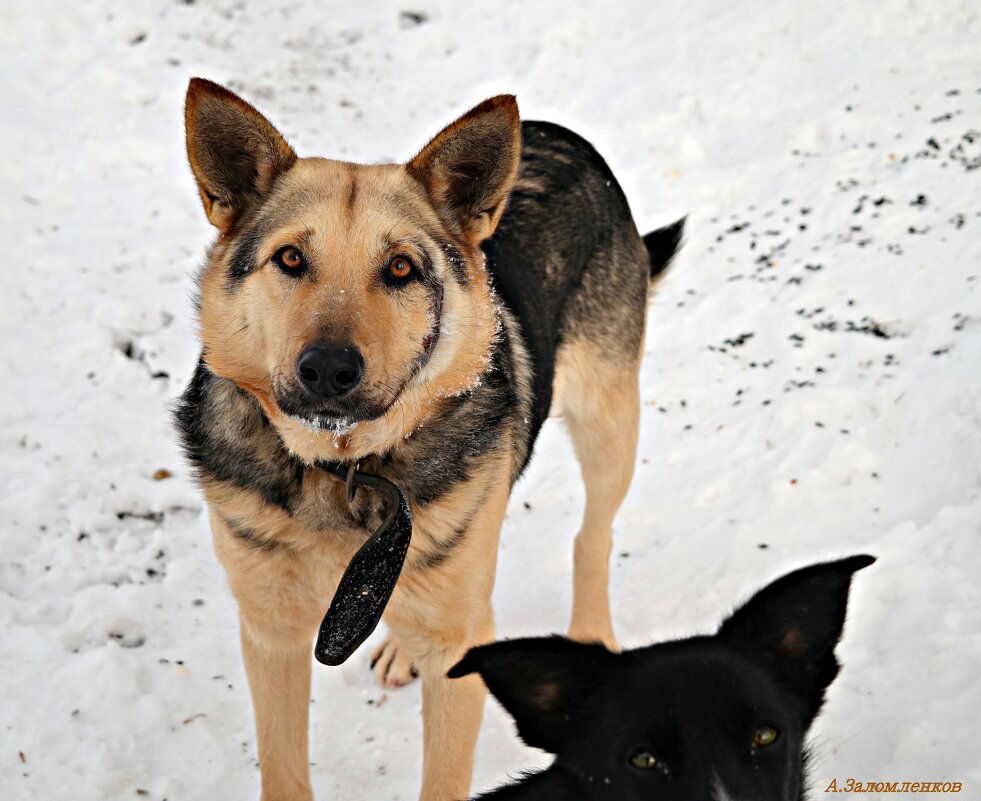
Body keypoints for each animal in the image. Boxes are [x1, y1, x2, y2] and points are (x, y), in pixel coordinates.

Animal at [176, 76, 680, 800]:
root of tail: (560, 134)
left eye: (401, 269)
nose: (328, 369)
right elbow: (283, 770)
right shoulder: (271, 634)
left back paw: (591, 630)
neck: (344, 469)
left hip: (609, 420)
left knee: (594, 534)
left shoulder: (457, 653)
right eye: (290, 258)